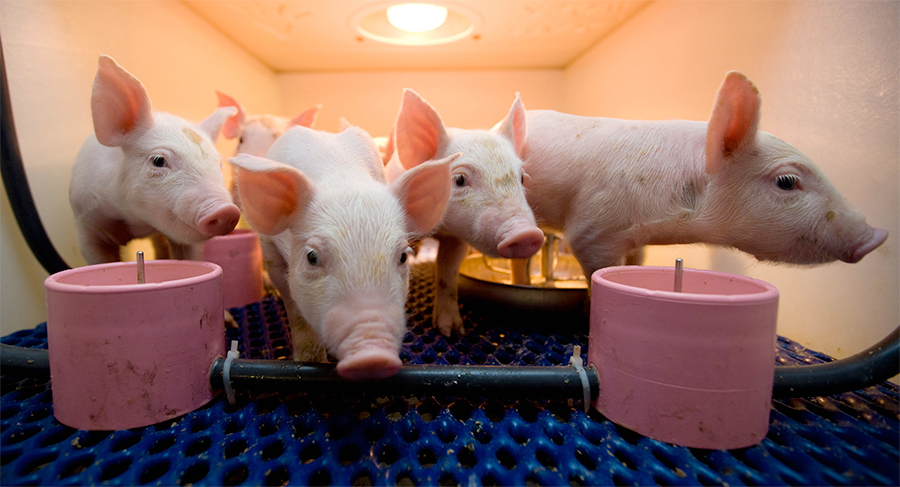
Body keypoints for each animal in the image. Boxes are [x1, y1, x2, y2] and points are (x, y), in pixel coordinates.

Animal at [229, 125, 457, 379]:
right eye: (312, 257)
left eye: (403, 256)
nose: (374, 356)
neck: (343, 179)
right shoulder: (270, 250)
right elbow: (294, 309)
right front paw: (310, 360)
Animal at [385, 89, 544, 336]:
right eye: (459, 179)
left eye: (522, 178)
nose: (526, 234)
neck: (438, 229)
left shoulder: (457, 238)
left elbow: (448, 273)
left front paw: (452, 332)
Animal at [512, 71, 888, 283]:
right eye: (787, 182)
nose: (877, 235)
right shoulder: (593, 228)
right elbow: (594, 269)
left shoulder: (633, 237)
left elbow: (637, 261)